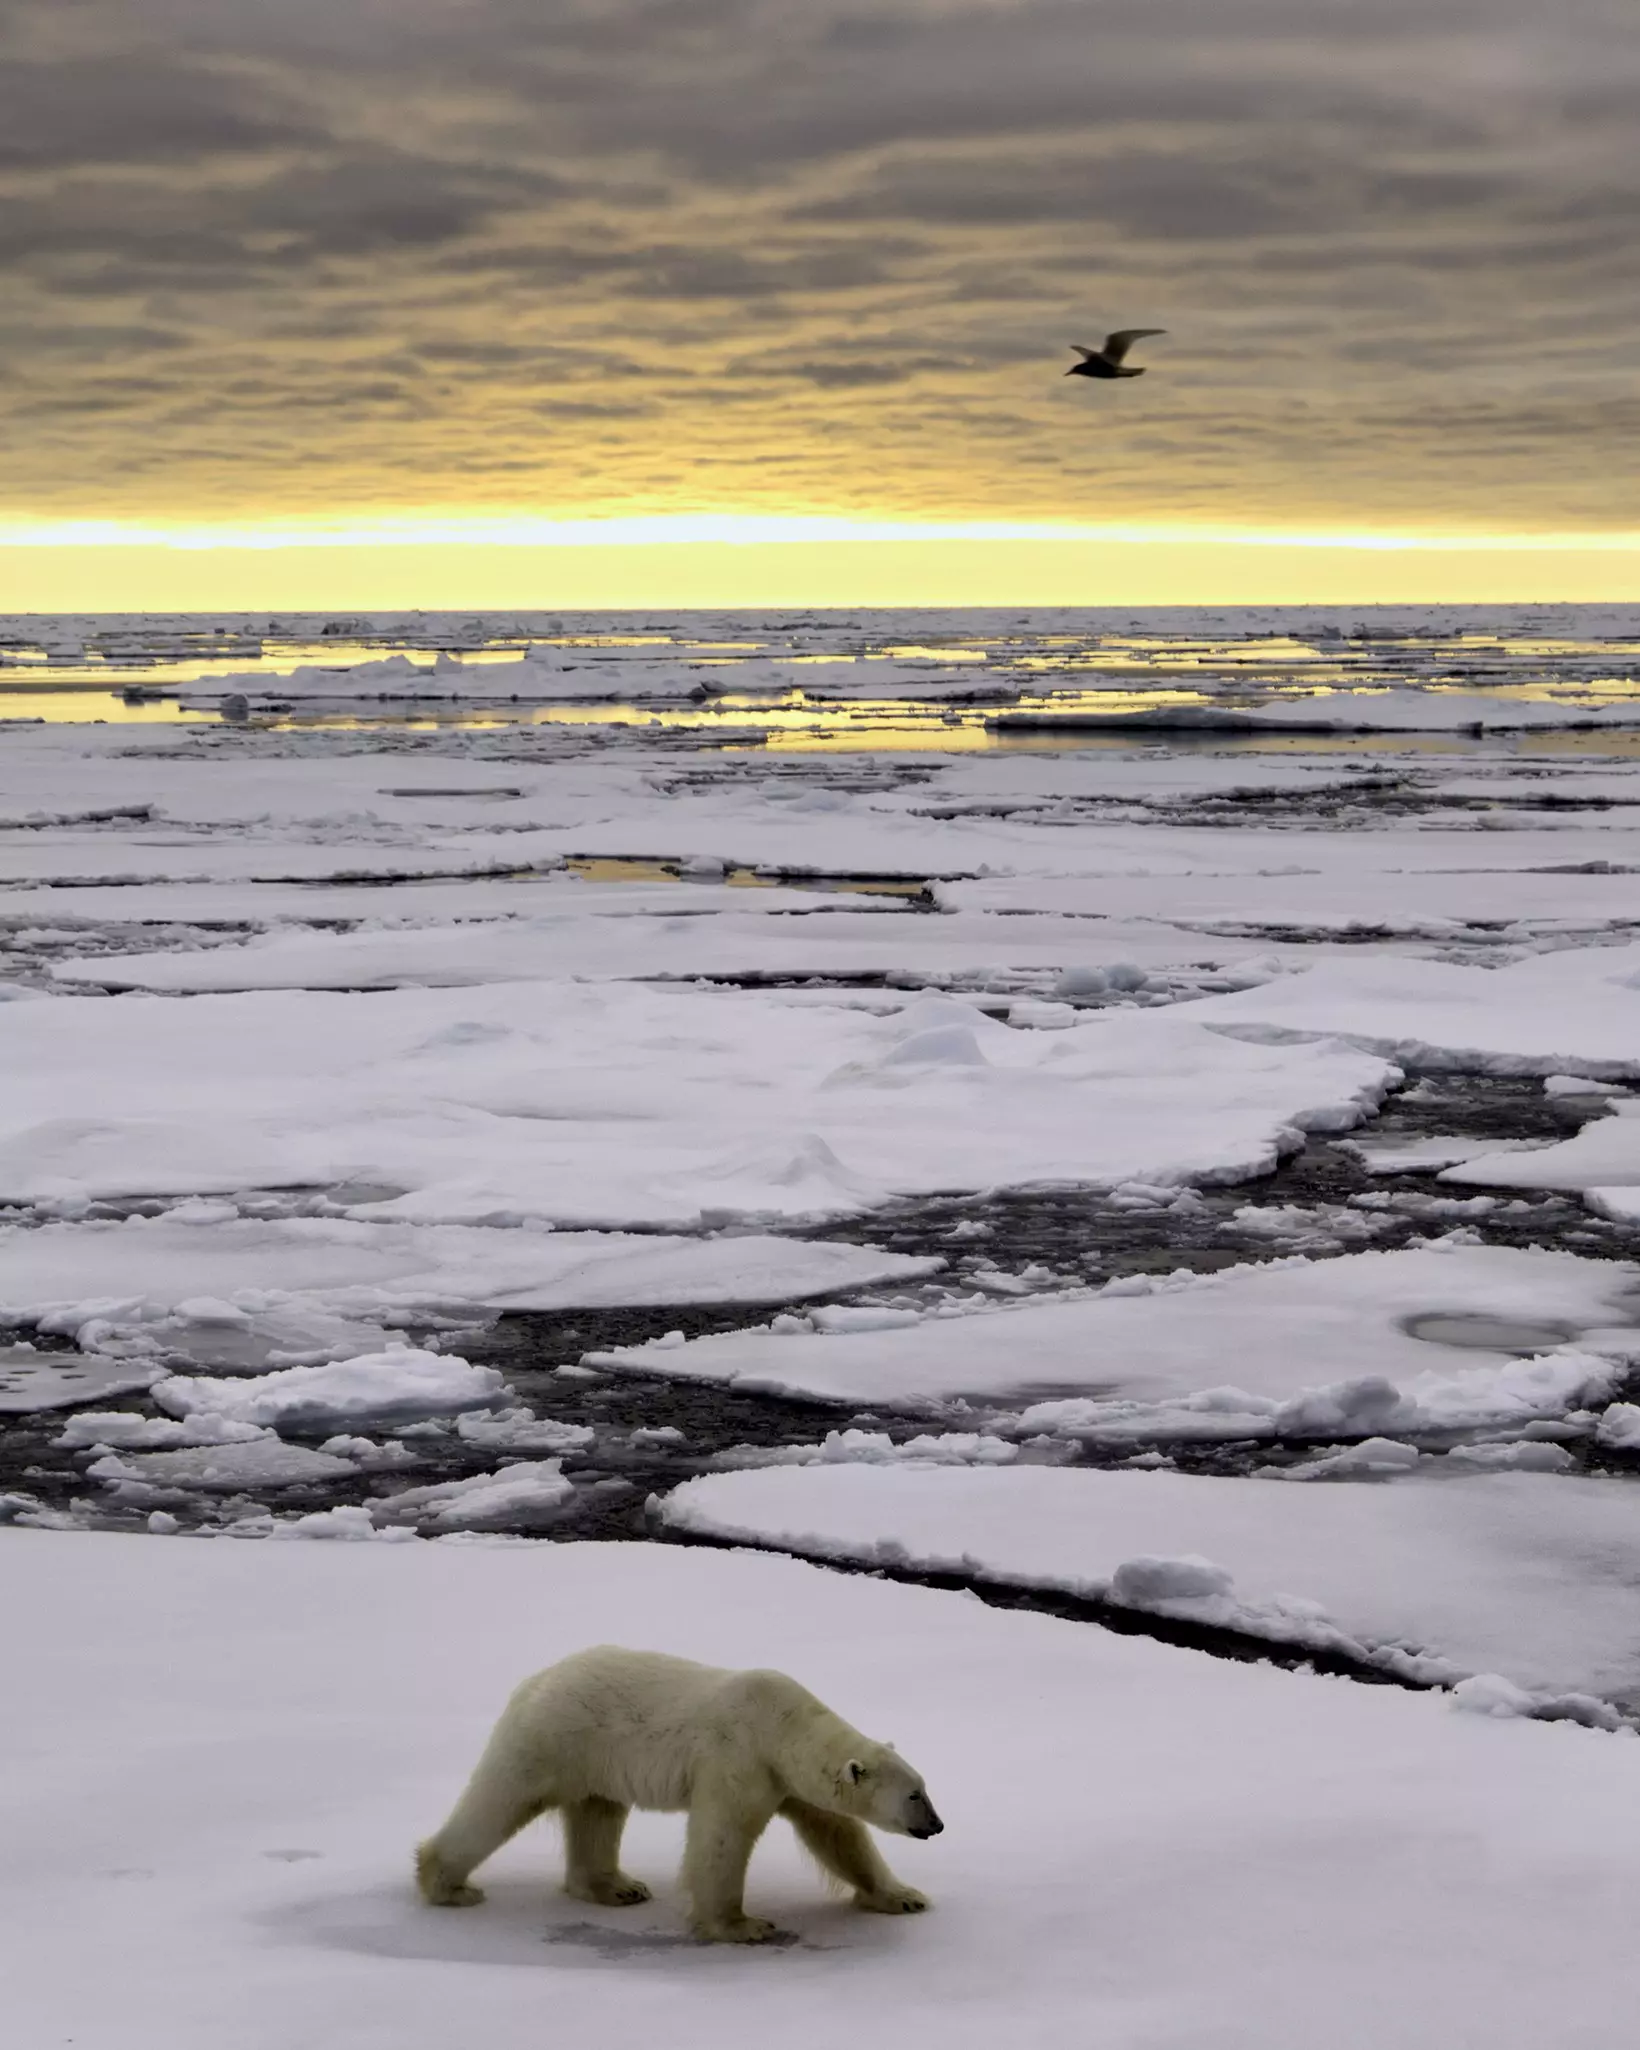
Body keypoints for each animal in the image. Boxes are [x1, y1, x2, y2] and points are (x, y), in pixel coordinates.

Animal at [415, 1644, 943, 1943]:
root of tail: (536, 1679)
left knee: (597, 1814)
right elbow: (721, 1840)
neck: (781, 1725)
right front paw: (743, 1926)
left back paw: (619, 1887)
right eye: (914, 1796)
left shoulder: (788, 1780)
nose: (937, 1826)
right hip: (553, 1738)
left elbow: (839, 1835)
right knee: (500, 1799)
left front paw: (905, 1897)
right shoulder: (738, 1760)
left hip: (597, 1758)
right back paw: (448, 1885)